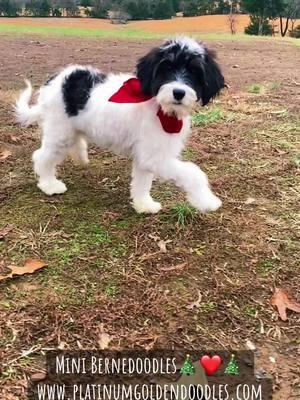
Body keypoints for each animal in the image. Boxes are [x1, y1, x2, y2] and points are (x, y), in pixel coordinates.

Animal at [15, 36, 224, 214]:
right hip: (60, 132)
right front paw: (207, 201)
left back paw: (79, 154)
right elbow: (193, 172)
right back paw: (49, 184)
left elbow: (142, 181)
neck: (159, 107)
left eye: (195, 72)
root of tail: (56, 79)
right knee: (41, 156)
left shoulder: (145, 156)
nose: (179, 92)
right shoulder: (154, 157)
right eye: (166, 68)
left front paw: (143, 204)